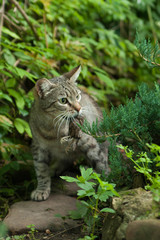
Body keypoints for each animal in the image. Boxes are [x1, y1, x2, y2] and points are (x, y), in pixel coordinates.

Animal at [29, 65, 110, 201]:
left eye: (77, 96)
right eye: (63, 100)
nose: (79, 108)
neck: (53, 129)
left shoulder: (90, 142)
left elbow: (101, 163)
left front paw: (107, 186)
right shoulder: (38, 147)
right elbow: (41, 170)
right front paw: (42, 189)